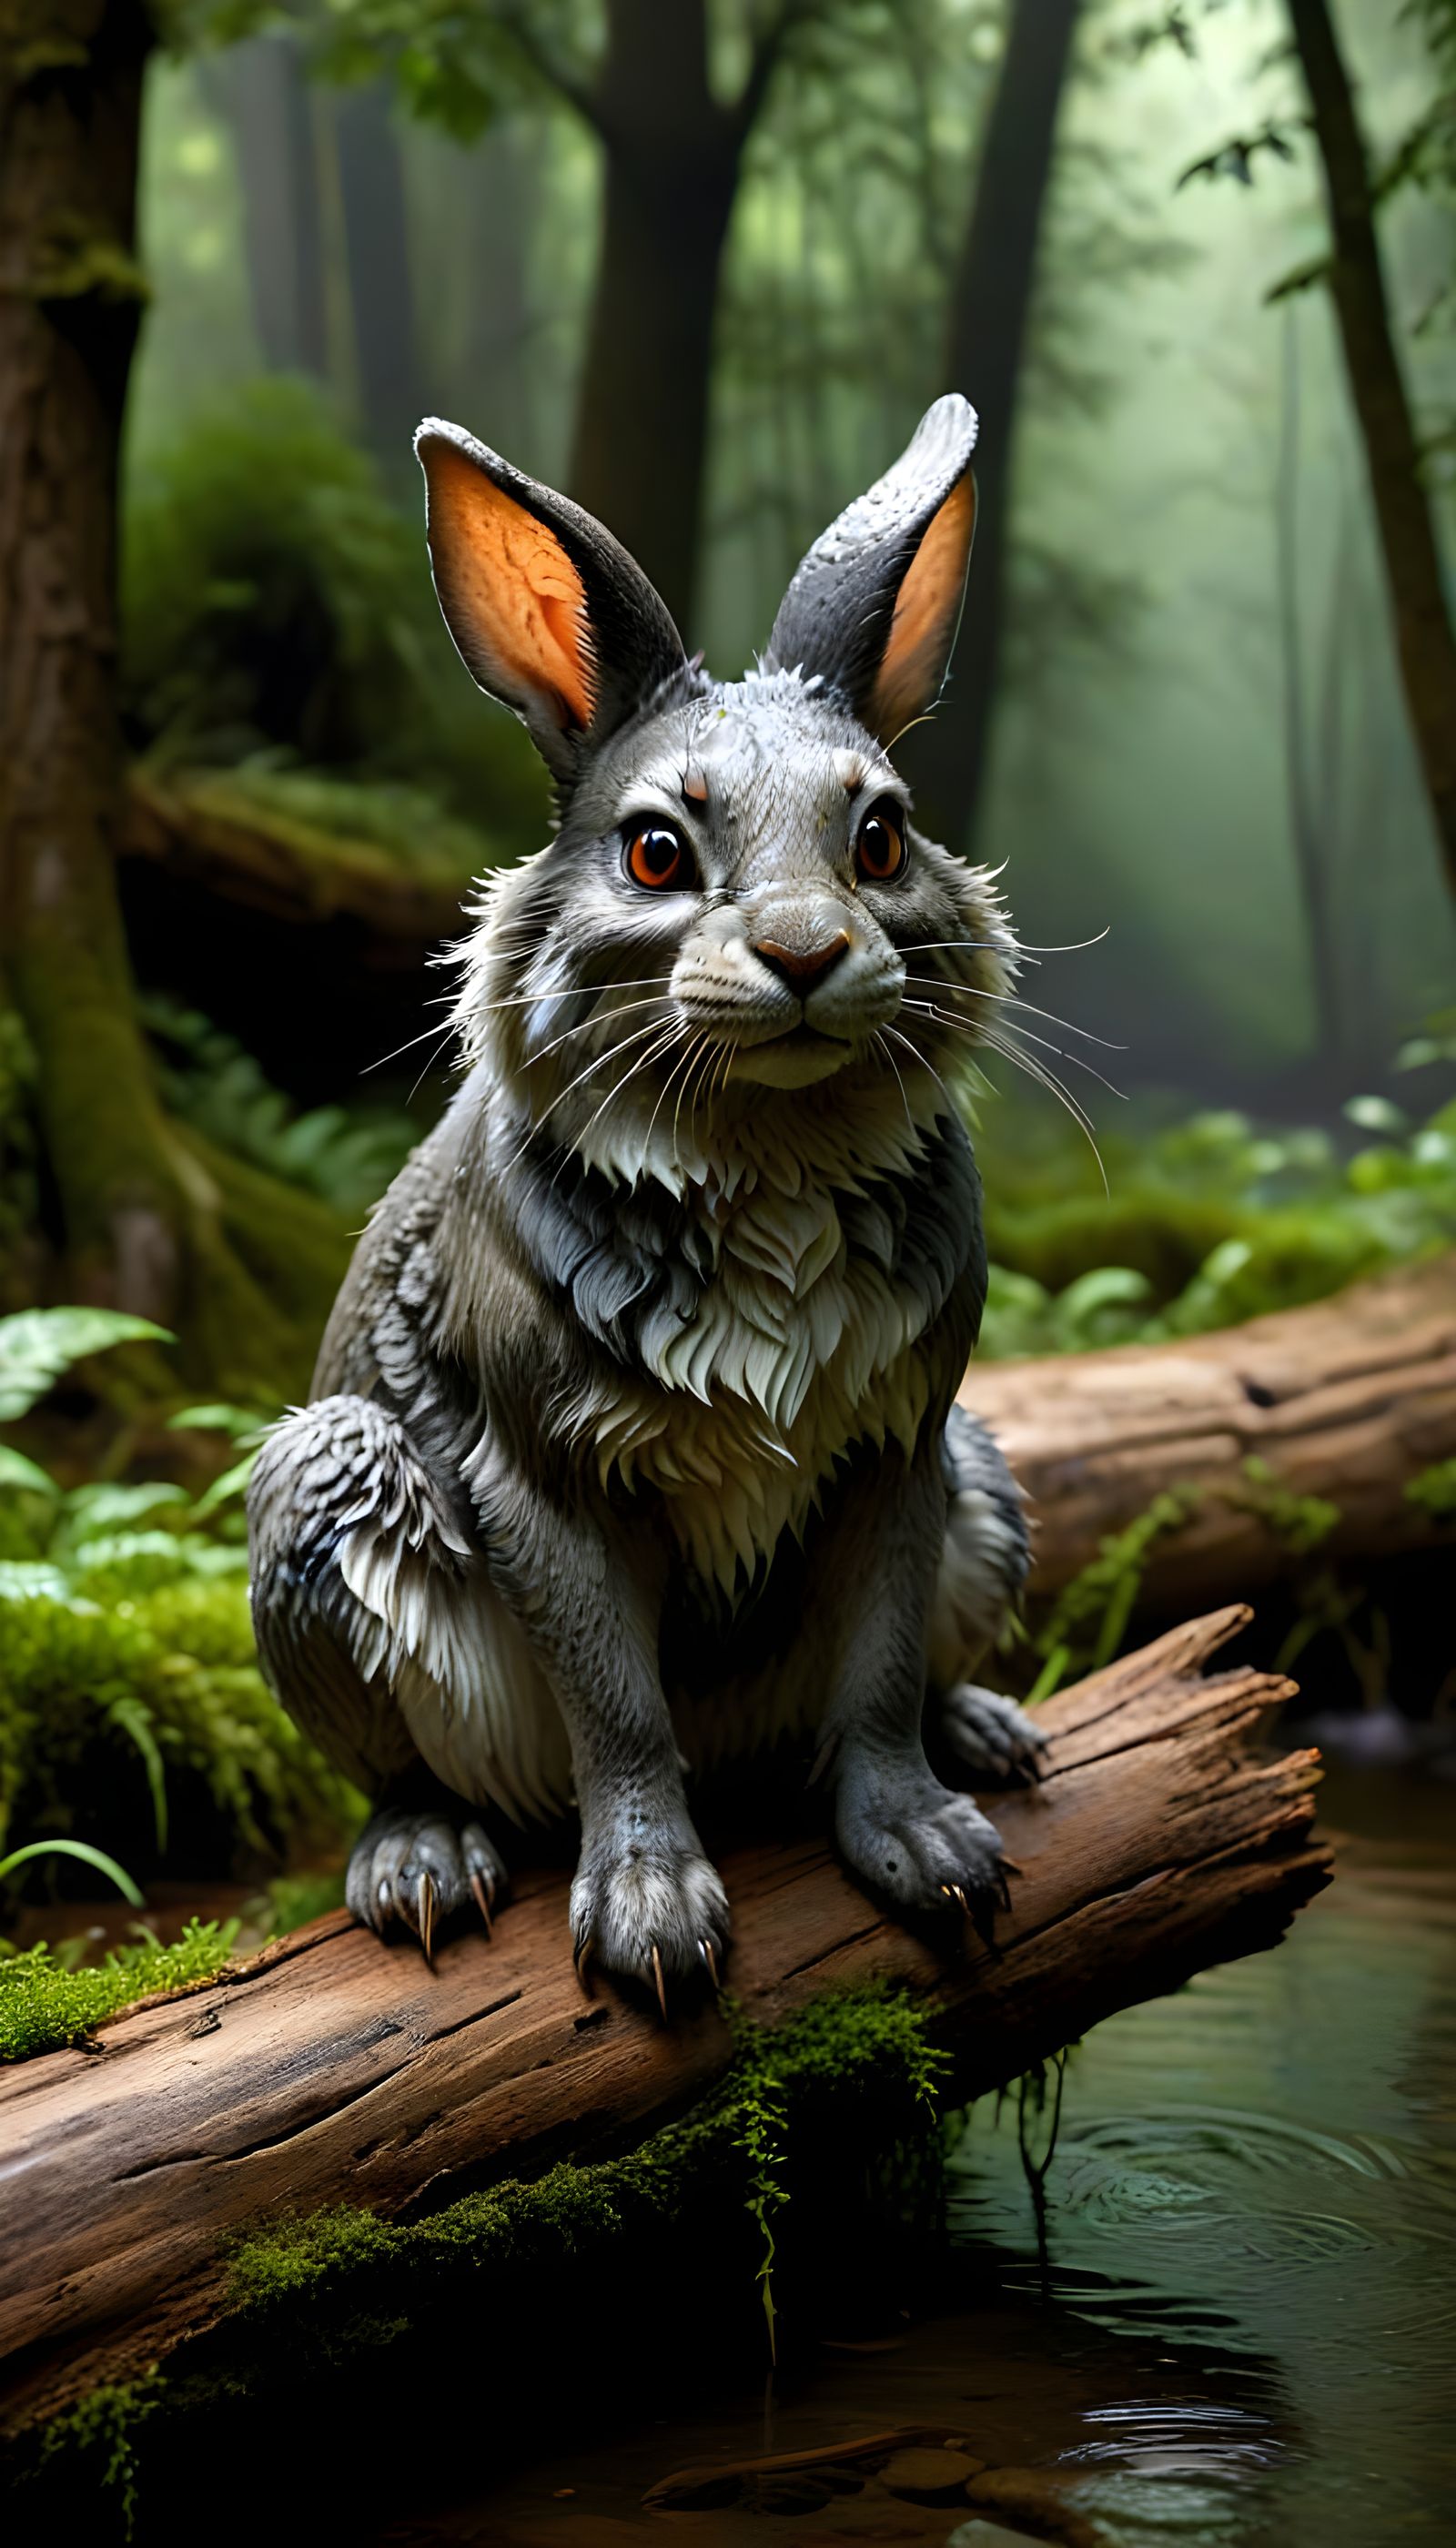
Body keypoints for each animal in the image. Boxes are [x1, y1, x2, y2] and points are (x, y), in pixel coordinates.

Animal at [247, 393, 1042, 2006]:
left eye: (882, 835)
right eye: (657, 849)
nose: (806, 952)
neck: (765, 1163)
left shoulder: (908, 1441)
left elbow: (877, 1671)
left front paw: (933, 1848)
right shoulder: (540, 1466)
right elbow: (616, 1704)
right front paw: (654, 1924)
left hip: (989, 1472)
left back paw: (987, 1733)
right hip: (323, 1473)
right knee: (411, 1769)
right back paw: (422, 1868)